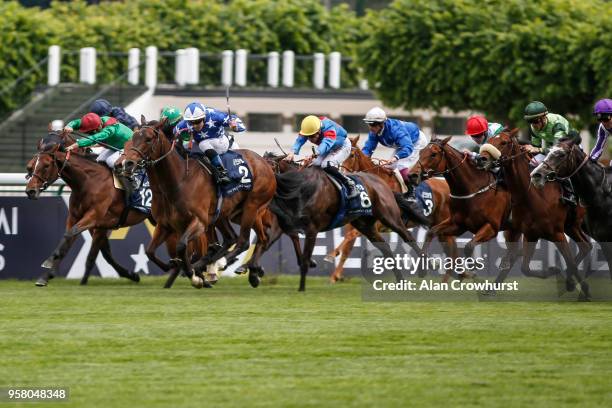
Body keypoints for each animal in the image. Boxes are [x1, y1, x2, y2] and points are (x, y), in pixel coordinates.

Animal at [24, 132, 149, 286]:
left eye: (46, 165)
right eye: (30, 167)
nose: (30, 191)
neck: (88, 181)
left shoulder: (94, 217)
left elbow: (72, 236)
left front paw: (49, 262)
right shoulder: (77, 218)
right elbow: (74, 240)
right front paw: (45, 277)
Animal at [123, 118, 276, 288]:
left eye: (149, 139)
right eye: (133, 138)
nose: (128, 164)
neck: (178, 181)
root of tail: (264, 162)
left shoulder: (199, 221)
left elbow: (182, 246)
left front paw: (193, 275)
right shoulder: (164, 225)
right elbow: (150, 252)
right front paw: (174, 266)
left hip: (252, 206)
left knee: (243, 241)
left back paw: (219, 264)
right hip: (232, 214)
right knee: (248, 238)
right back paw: (249, 272)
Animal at [270, 164, 424, 292]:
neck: (299, 188)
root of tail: (384, 184)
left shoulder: (311, 229)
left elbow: (305, 258)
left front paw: (301, 288)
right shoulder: (291, 228)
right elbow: (300, 254)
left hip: (389, 216)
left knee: (408, 237)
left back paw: (424, 267)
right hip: (364, 224)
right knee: (385, 247)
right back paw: (400, 280)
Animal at [326, 135, 454, 282]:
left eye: (351, 155)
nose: (343, 175)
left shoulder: (378, 223)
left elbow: (350, 236)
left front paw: (331, 256)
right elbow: (348, 245)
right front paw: (335, 275)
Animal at [480, 129, 592, 298]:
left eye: (504, 142)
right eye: (490, 140)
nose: (482, 158)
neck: (533, 196)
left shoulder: (557, 233)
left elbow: (570, 261)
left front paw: (581, 288)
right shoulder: (530, 234)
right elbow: (525, 268)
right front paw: (556, 271)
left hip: (573, 225)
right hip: (571, 226)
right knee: (586, 246)